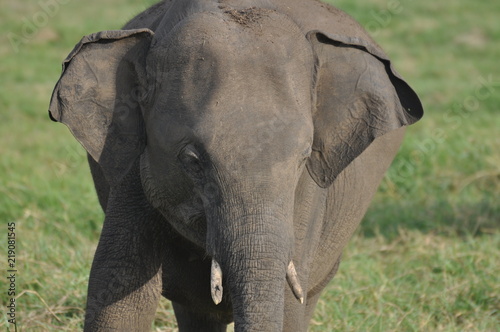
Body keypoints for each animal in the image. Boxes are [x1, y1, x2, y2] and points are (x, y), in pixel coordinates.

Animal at [48, 0, 422, 330]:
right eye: (192, 161)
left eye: (303, 159)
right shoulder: (133, 166)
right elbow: (118, 291)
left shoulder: (308, 197)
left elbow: (289, 309)